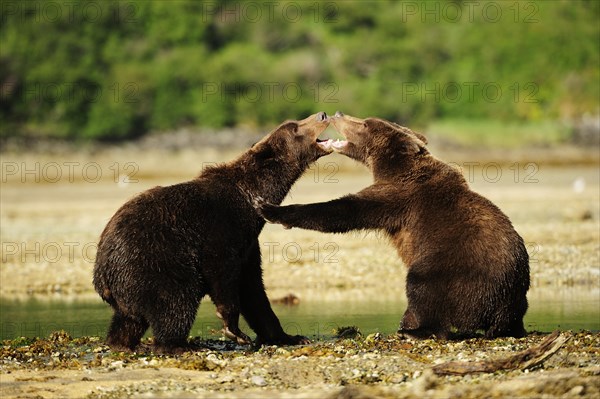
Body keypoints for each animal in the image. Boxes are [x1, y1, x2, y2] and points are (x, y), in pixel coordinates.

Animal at [92, 112, 332, 354]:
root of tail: (102, 272)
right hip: (153, 260)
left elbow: (254, 289)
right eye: (295, 128)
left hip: (129, 285)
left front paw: (290, 336)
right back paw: (179, 345)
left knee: (129, 319)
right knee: (176, 299)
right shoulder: (221, 227)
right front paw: (235, 330)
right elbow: (222, 273)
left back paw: (123, 343)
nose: (322, 115)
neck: (250, 197)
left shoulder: (248, 244)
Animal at [262, 112, 528, 340]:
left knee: (423, 287)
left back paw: (416, 330)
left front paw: (271, 209)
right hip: (514, 295)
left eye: (365, 124)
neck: (391, 166)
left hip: (454, 268)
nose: (337, 114)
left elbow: (345, 211)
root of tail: (503, 305)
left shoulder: (398, 196)